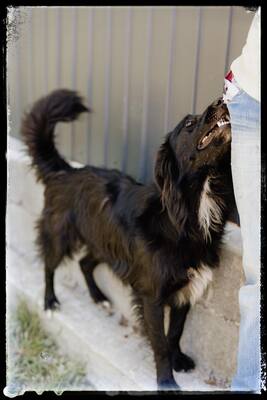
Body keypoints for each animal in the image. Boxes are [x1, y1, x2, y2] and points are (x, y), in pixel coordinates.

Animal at [21, 90, 234, 390]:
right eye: (189, 124)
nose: (221, 100)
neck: (185, 214)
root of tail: (67, 170)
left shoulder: (187, 288)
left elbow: (176, 331)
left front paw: (178, 359)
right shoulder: (151, 296)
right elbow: (160, 342)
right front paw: (166, 380)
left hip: (104, 243)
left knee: (85, 264)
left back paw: (99, 298)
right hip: (60, 234)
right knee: (49, 265)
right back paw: (50, 302)